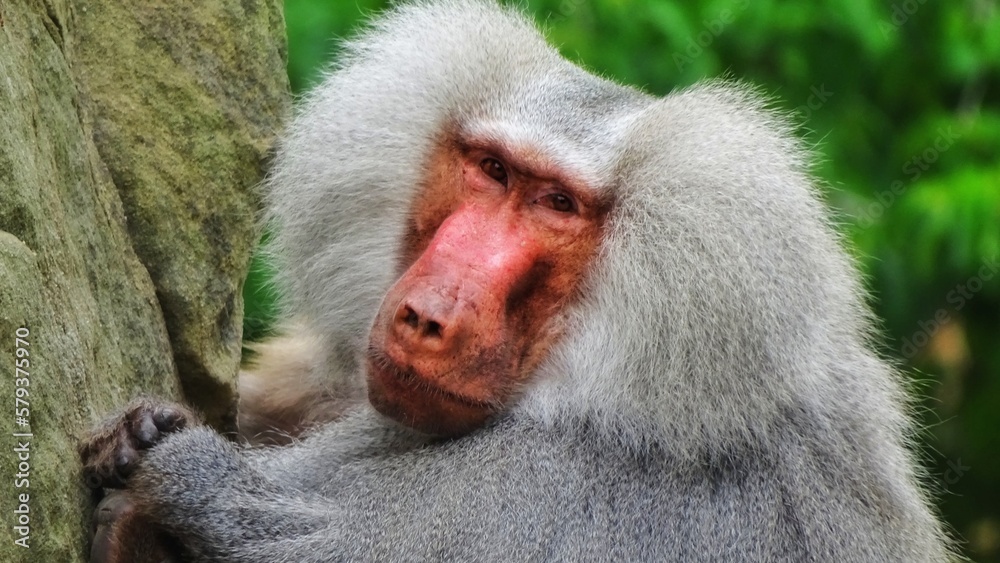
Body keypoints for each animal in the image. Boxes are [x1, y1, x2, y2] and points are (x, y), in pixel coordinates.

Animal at [79, 1, 955, 561]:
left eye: (557, 204)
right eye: (492, 170)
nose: (427, 317)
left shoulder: (544, 494)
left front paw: (168, 478)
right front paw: (148, 430)